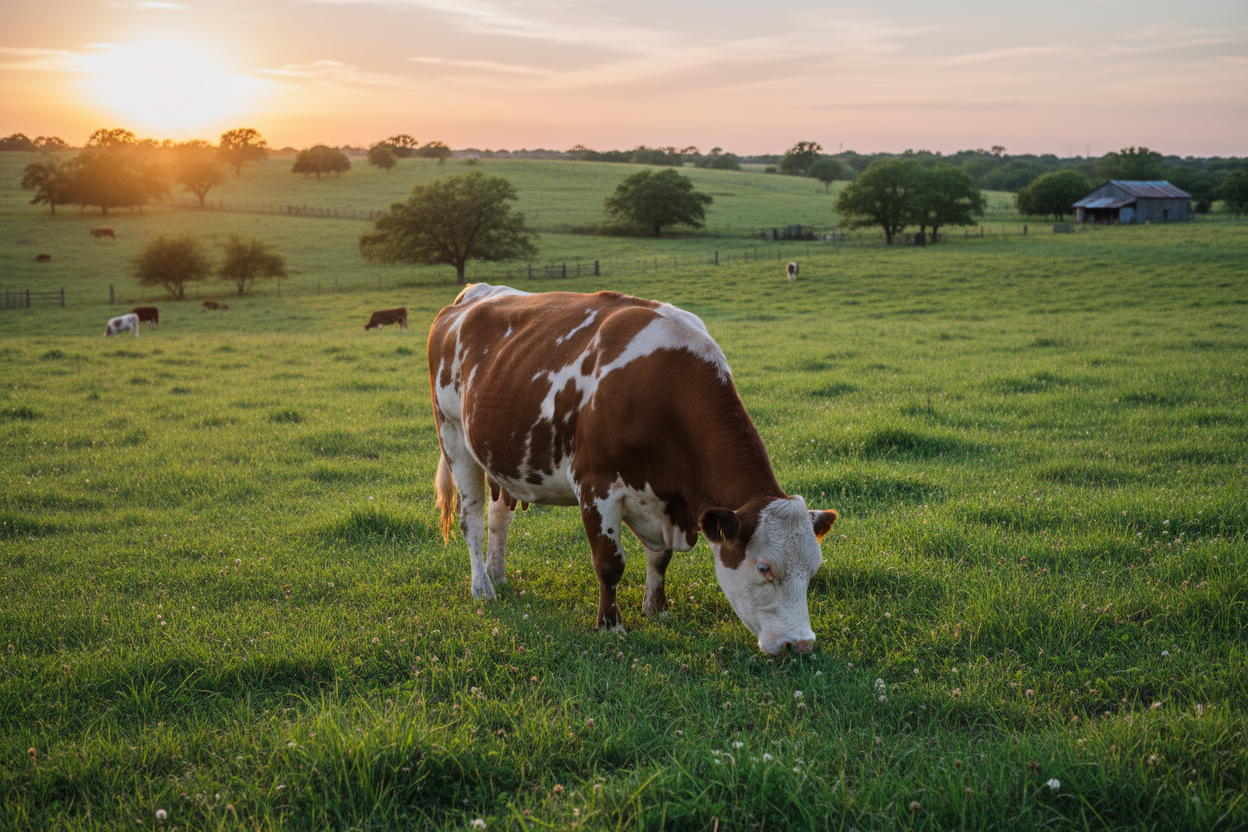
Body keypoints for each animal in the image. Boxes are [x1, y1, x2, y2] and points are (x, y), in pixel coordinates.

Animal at [428, 285, 839, 654]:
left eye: (814, 569)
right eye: (764, 568)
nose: (801, 645)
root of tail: (471, 294)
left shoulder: (663, 500)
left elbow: (660, 558)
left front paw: (657, 609)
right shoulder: (595, 486)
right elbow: (609, 563)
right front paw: (610, 626)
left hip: (503, 458)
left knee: (500, 518)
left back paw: (498, 574)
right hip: (453, 434)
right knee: (473, 520)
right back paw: (483, 588)